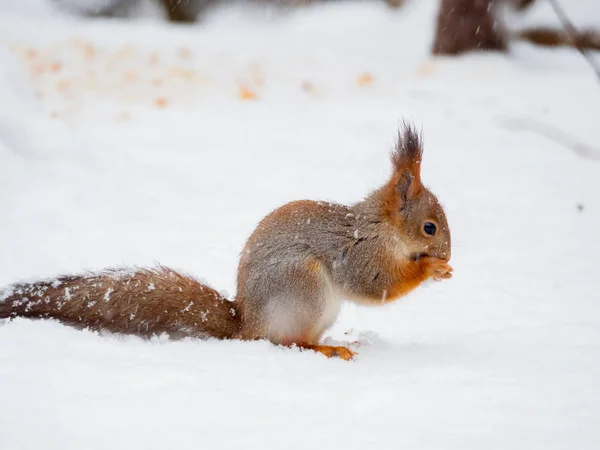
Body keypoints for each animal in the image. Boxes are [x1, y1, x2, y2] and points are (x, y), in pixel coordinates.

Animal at [0, 122, 452, 358]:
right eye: (430, 227)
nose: (448, 252)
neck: (382, 227)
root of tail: (246, 325)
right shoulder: (359, 253)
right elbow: (376, 285)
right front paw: (432, 267)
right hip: (302, 287)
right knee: (288, 342)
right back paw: (324, 349)